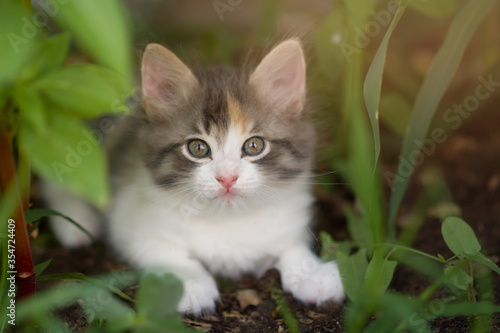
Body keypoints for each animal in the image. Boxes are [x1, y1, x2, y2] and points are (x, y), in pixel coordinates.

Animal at [46, 39, 344, 314]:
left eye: (254, 145)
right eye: (198, 148)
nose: (227, 178)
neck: (227, 219)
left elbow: (291, 246)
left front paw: (312, 273)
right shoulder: (128, 221)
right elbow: (166, 252)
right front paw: (190, 284)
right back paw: (76, 226)